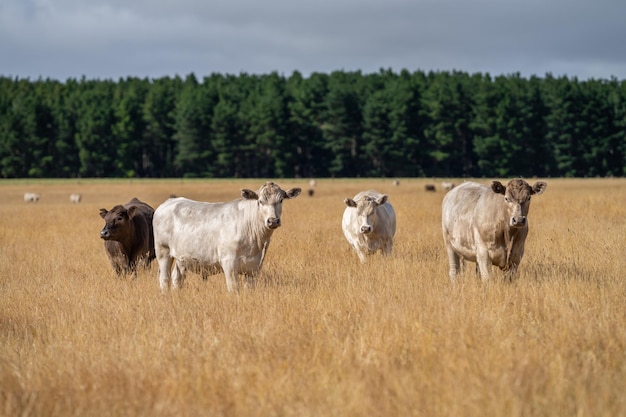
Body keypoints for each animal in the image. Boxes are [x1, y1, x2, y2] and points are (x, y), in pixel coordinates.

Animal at [151, 180, 300, 290]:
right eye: (260, 201)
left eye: (281, 200)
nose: (273, 220)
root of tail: (169, 202)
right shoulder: (229, 263)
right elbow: (234, 288)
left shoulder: (254, 268)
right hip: (163, 251)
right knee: (164, 279)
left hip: (181, 258)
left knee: (177, 278)